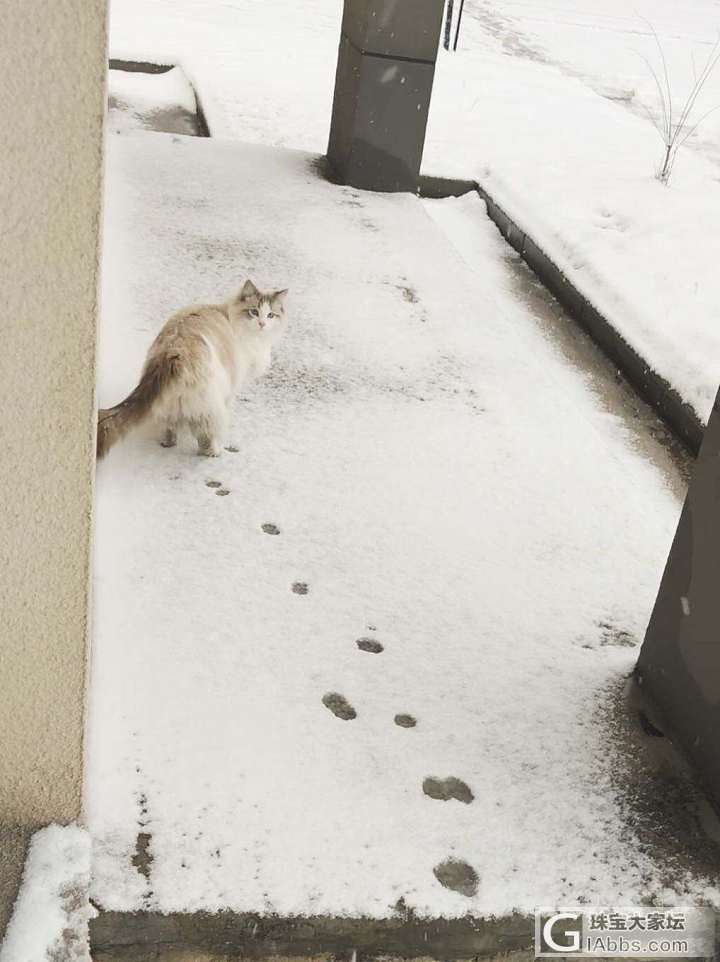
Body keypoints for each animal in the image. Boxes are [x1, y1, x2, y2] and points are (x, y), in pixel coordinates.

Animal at [97, 280, 288, 460]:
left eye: (271, 315)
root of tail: (172, 353)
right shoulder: (233, 383)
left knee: (169, 427)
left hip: (170, 403)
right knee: (205, 435)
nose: (262, 324)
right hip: (210, 401)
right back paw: (214, 452)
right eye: (253, 312)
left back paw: (168, 442)